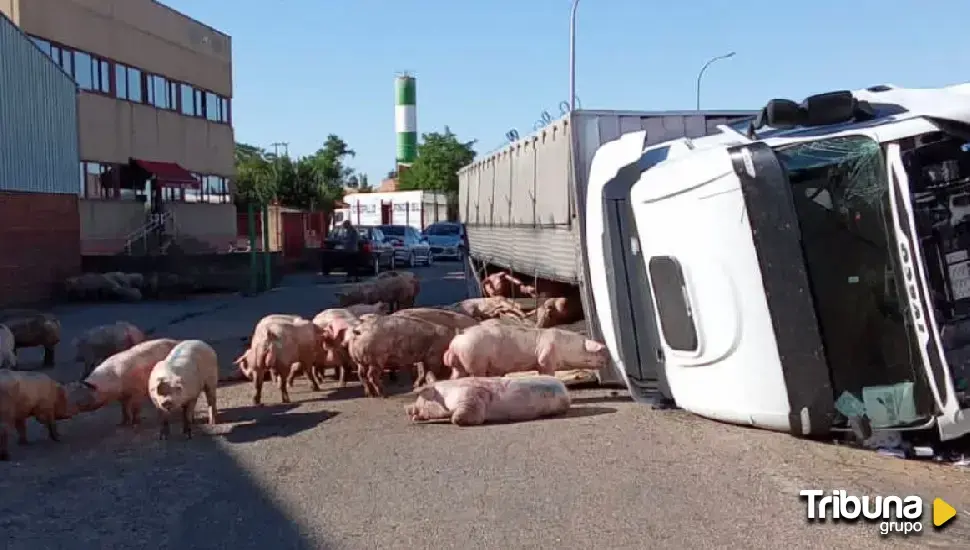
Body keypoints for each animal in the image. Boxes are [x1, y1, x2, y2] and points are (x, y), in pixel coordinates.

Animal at [404, 378, 572, 430]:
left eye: (422, 399)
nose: (407, 409)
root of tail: (564, 387)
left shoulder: (471, 398)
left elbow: (464, 416)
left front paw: (455, 420)